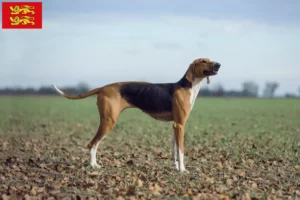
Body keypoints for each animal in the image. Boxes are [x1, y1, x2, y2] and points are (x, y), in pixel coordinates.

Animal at [51, 57, 220, 172]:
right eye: (203, 61)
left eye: (210, 59)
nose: (219, 64)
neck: (188, 87)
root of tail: (103, 87)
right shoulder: (180, 125)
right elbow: (182, 151)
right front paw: (183, 170)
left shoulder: (176, 126)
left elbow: (175, 150)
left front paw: (176, 167)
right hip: (108, 121)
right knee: (92, 144)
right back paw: (93, 165)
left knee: (94, 144)